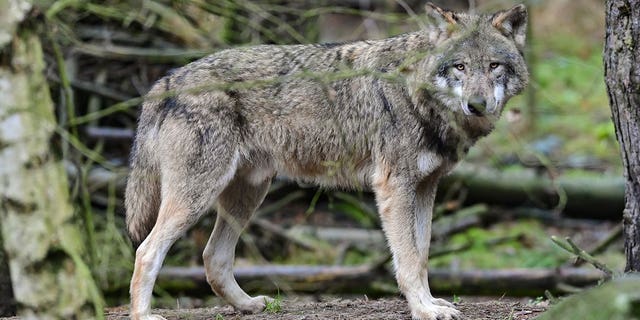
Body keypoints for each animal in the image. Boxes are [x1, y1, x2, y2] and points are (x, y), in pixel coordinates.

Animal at [126, 3, 528, 320]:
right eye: (459, 67)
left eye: (494, 66)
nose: (477, 104)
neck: (416, 90)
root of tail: (168, 80)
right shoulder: (394, 187)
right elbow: (409, 260)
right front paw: (423, 309)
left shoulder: (426, 187)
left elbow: (423, 254)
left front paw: (431, 303)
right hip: (198, 197)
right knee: (147, 251)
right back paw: (144, 315)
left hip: (246, 195)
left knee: (213, 257)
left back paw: (248, 305)